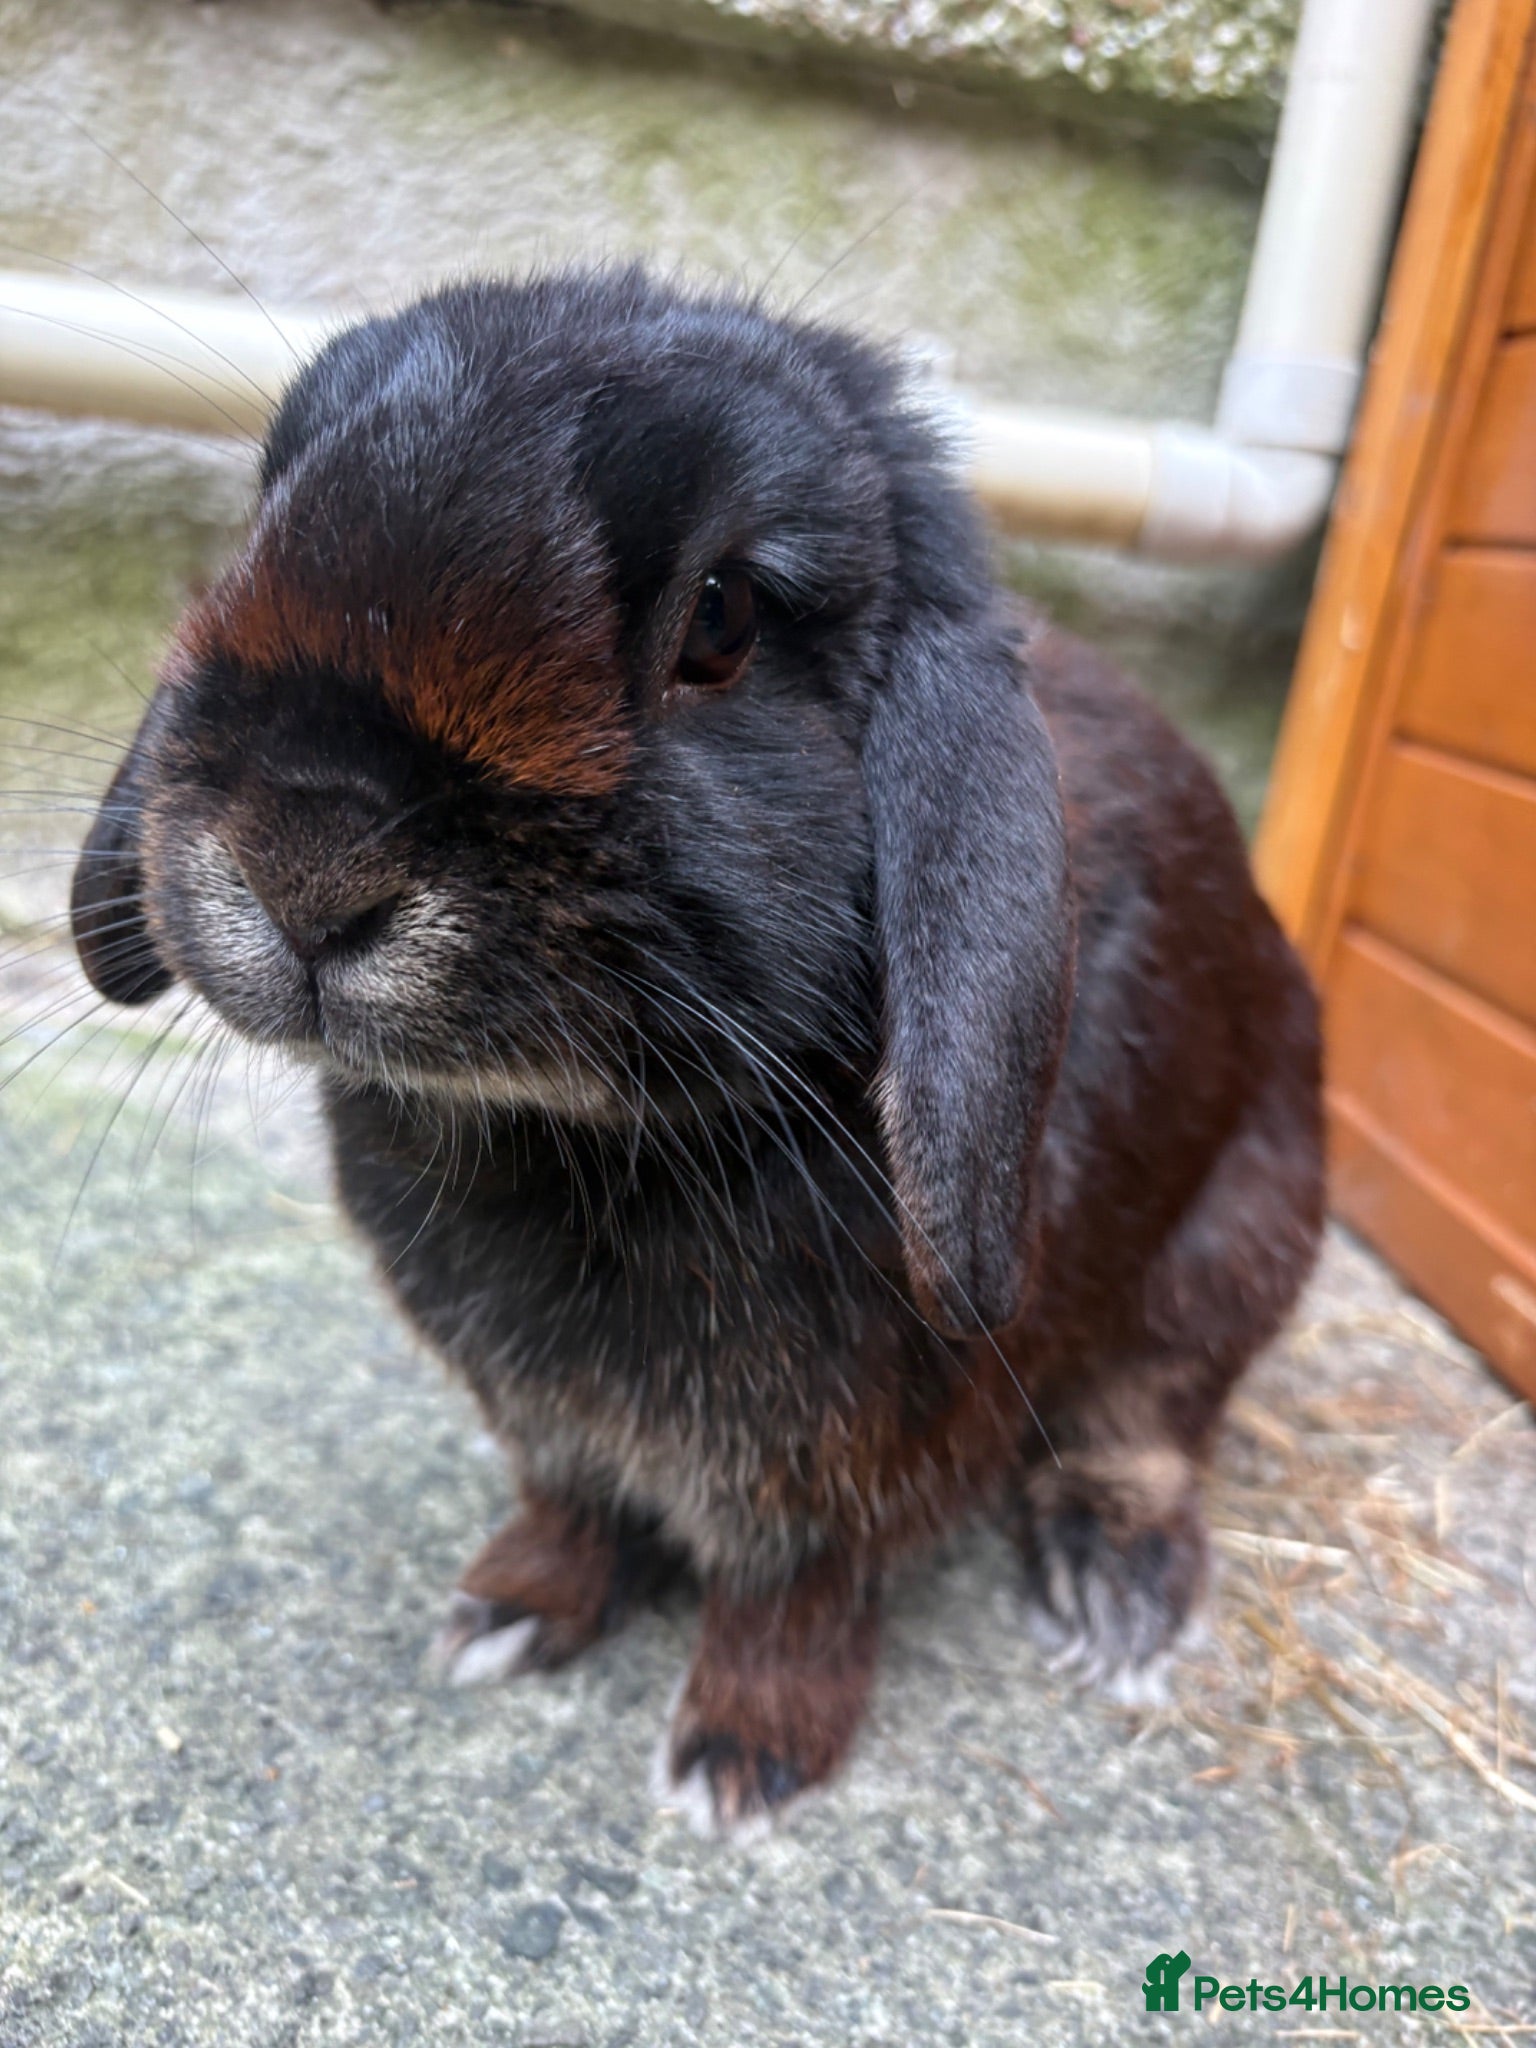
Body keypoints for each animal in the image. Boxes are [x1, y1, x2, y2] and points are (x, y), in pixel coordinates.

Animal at [70, 268, 1324, 1839]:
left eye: (721, 617)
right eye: (270, 507)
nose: (308, 859)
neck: (579, 1140)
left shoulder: (848, 1462)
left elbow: (794, 1592)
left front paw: (743, 1756)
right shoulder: (547, 1426)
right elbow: (571, 1509)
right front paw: (509, 1611)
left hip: (1238, 1241)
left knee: (1151, 1418)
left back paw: (1115, 1593)